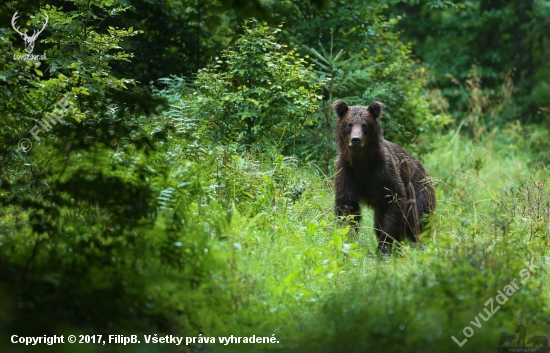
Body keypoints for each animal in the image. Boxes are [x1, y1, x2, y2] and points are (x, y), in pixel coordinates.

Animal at [334, 100, 438, 252]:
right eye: (349, 124)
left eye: (365, 125)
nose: (356, 140)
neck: (362, 163)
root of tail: (425, 171)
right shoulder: (347, 173)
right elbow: (347, 207)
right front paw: (348, 235)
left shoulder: (384, 174)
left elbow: (392, 206)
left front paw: (385, 245)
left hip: (418, 190)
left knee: (416, 220)